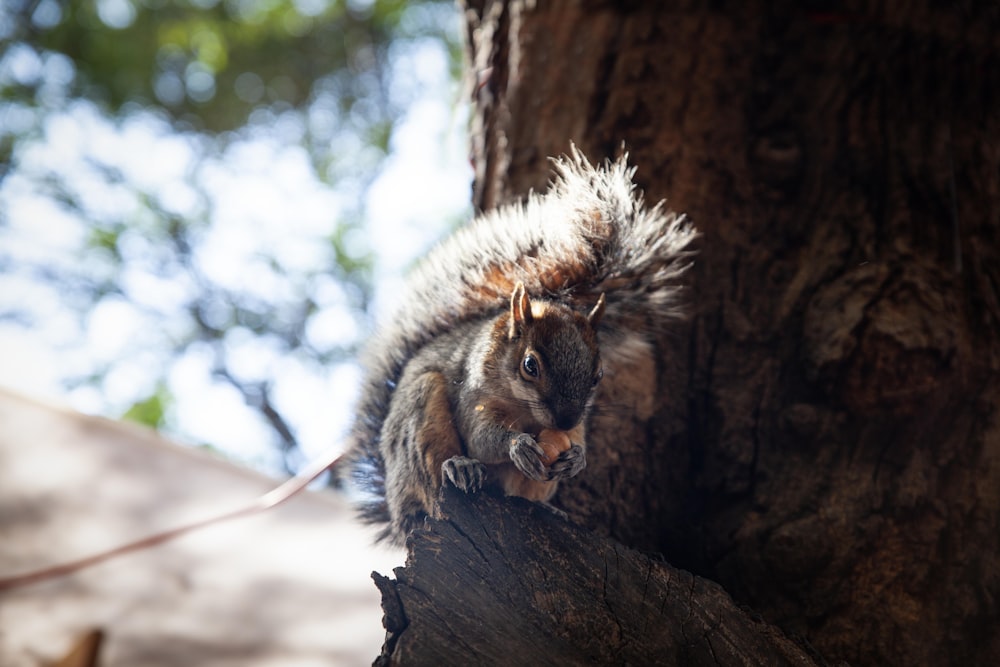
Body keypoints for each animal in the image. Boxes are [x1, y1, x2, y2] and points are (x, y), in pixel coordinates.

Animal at [344, 145, 696, 544]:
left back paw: (549, 508)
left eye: (598, 376)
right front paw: (517, 445)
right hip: (419, 417)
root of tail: (397, 513)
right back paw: (458, 467)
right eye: (530, 366)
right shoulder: (473, 397)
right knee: (431, 482)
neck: (527, 411)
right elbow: (481, 437)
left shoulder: (575, 425)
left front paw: (577, 459)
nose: (565, 417)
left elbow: (577, 441)